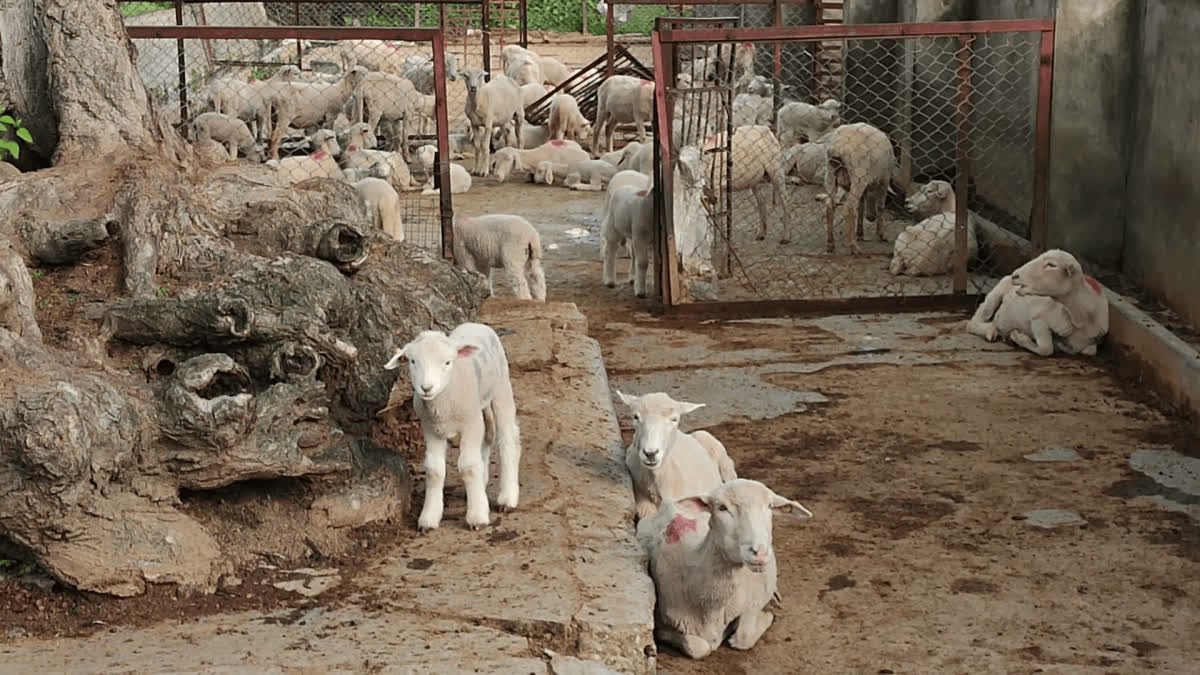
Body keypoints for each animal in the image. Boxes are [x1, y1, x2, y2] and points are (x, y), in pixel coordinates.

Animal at [381, 321, 518, 530]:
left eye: (447, 362)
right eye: (412, 361)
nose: (426, 388)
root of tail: (476, 324)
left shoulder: (470, 423)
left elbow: (468, 466)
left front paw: (477, 517)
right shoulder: (431, 428)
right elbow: (434, 470)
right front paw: (429, 518)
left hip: (501, 387)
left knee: (508, 439)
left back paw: (508, 497)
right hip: (481, 406)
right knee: (487, 437)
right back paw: (482, 483)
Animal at [638, 478, 816, 658]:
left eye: (770, 506)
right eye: (722, 507)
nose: (759, 552)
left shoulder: (753, 600)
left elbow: (743, 637)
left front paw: (766, 615)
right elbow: (699, 647)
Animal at [820, 121, 897, 253]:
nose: (871, 217)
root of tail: (838, 147)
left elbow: (860, 207)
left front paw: (860, 233)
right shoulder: (884, 180)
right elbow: (880, 206)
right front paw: (881, 234)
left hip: (830, 174)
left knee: (829, 206)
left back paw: (830, 243)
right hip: (858, 175)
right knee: (849, 208)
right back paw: (853, 247)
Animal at [960, 243, 1108, 355]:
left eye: (1051, 265)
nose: (1015, 275)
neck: (1082, 318)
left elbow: (1090, 351)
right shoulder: (1038, 319)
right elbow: (1046, 349)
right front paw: (1018, 337)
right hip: (993, 297)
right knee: (973, 322)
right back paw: (991, 330)